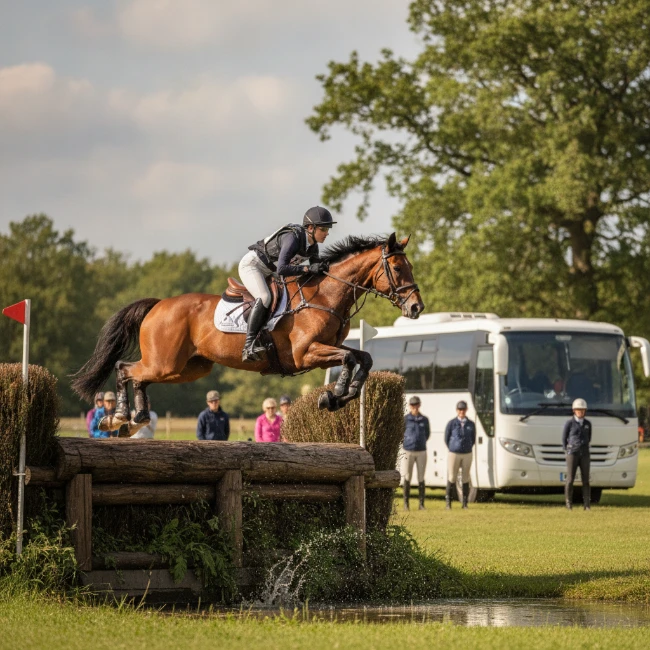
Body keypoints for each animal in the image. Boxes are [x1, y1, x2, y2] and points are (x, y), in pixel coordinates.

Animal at [71, 233, 424, 434]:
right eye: (397, 268)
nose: (416, 308)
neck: (325, 295)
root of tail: (159, 305)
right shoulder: (305, 353)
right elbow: (350, 358)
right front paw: (333, 395)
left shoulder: (324, 352)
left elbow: (362, 358)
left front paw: (341, 396)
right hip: (165, 362)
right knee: (125, 369)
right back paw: (118, 417)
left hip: (187, 368)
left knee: (139, 376)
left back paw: (136, 419)